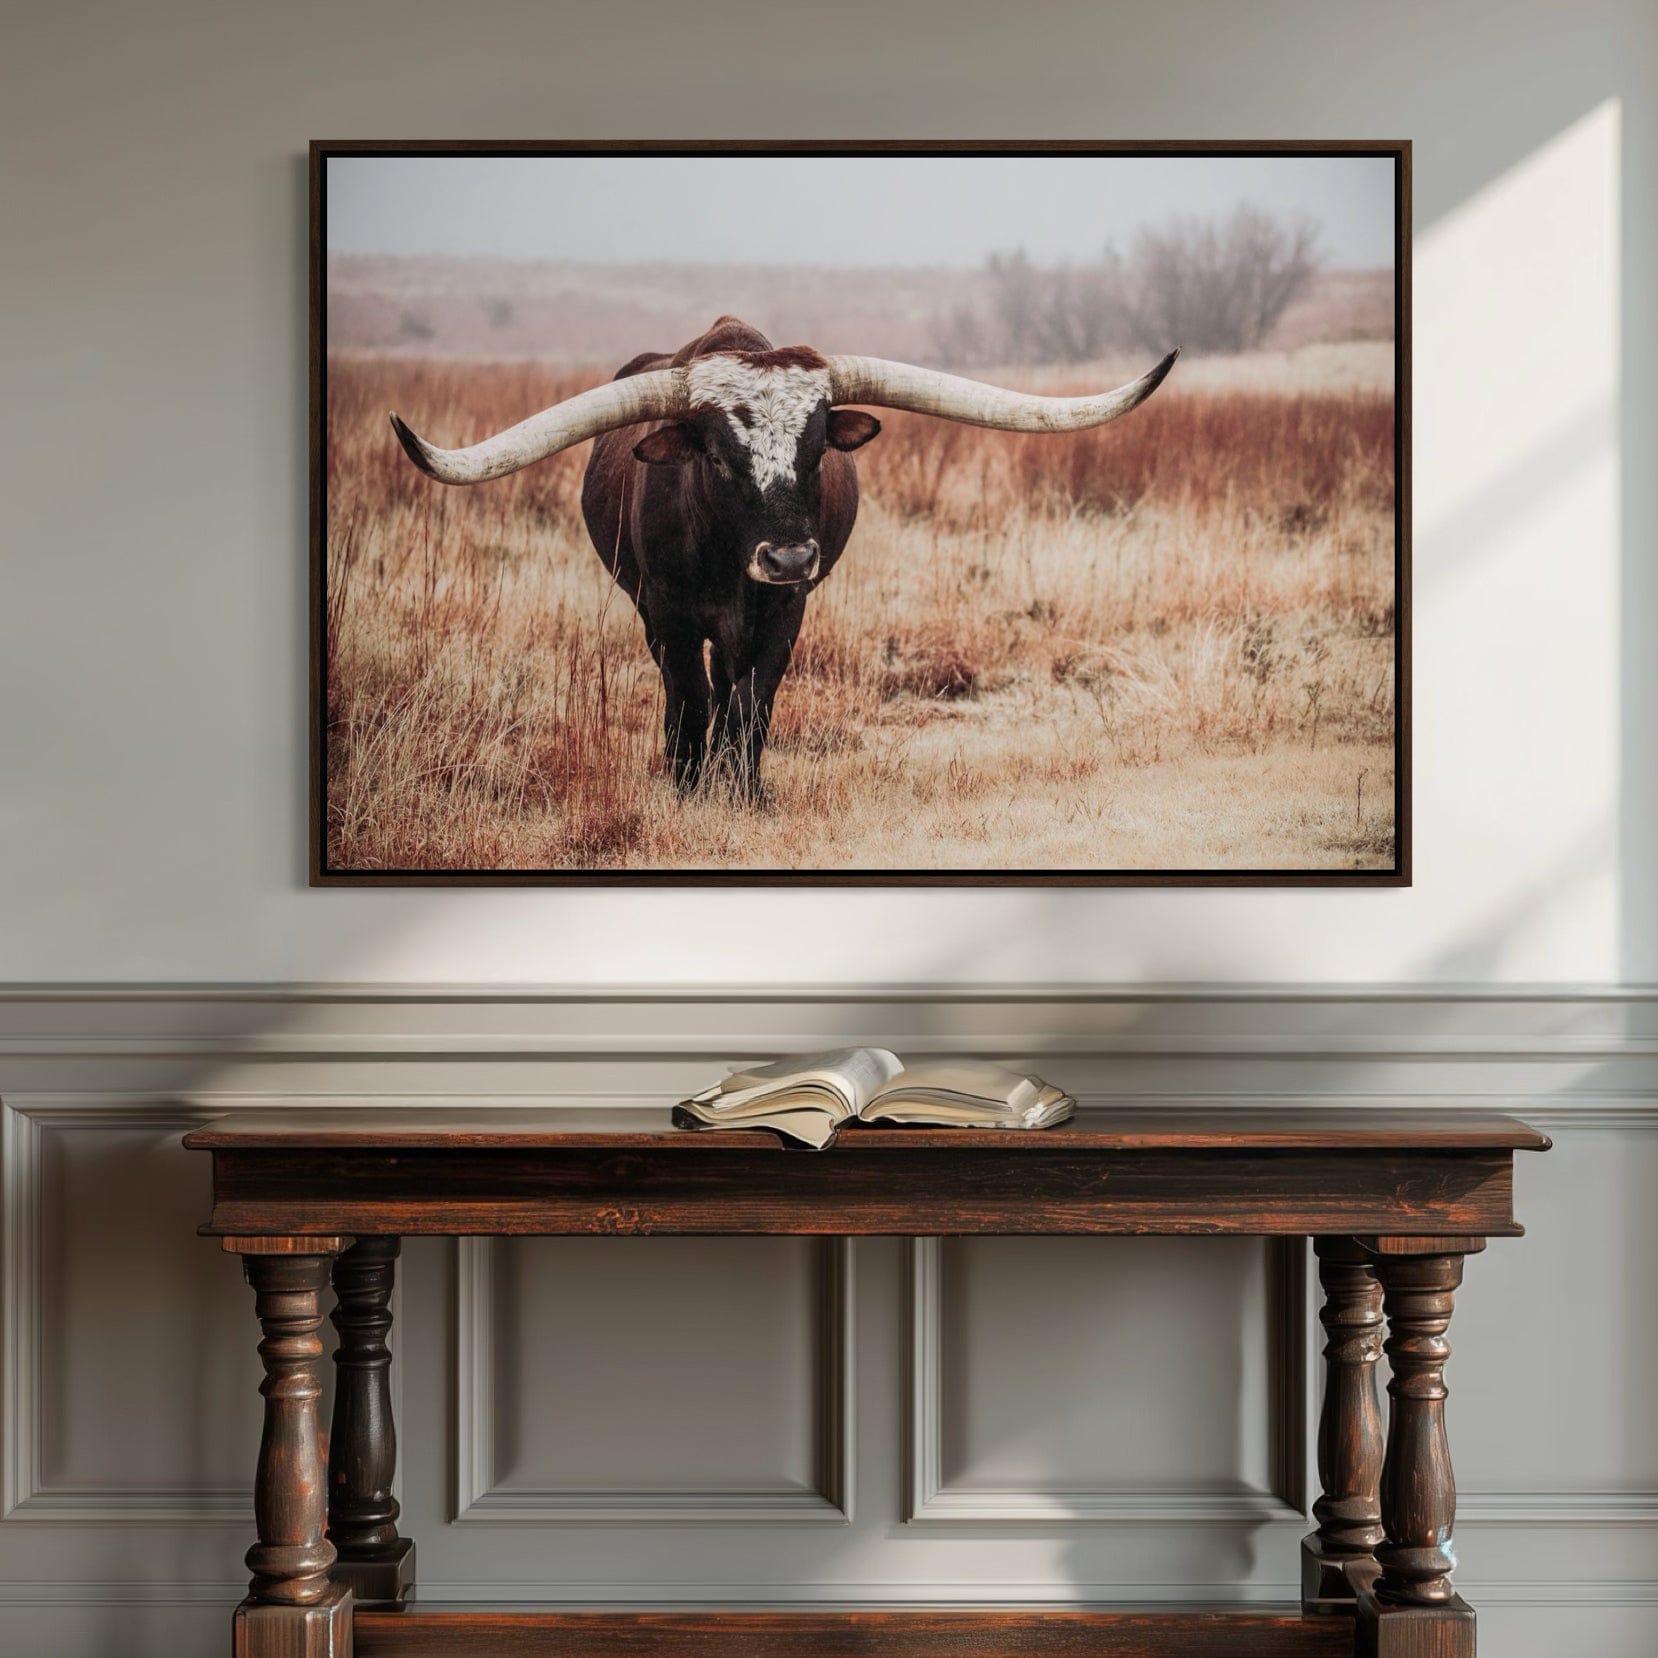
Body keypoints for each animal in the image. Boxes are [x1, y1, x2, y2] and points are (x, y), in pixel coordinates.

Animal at [390, 317, 1176, 800]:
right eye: (715, 455)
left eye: (818, 447)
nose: (791, 554)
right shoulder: (669, 615)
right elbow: (690, 698)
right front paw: (687, 786)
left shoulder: (786, 614)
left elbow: (753, 701)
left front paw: (746, 791)